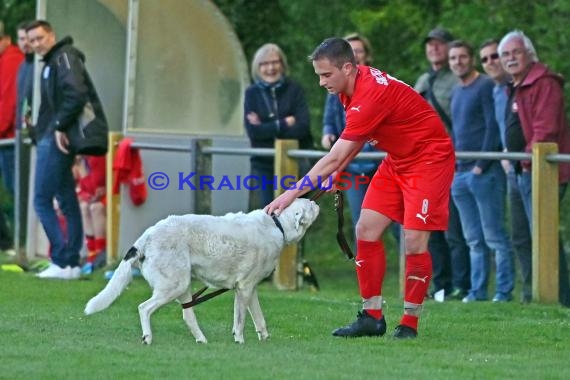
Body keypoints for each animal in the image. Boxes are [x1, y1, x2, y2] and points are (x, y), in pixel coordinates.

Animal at [84, 199, 318, 344]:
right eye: (309, 204)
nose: (316, 202)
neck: (277, 225)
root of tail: (145, 238)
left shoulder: (249, 290)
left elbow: (259, 319)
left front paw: (264, 339)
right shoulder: (244, 289)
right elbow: (240, 322)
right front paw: (240, 342)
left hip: (183, 286)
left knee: (187, 315)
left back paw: (202, 340)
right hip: (173, 286)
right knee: (144, 308)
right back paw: (148, 337)